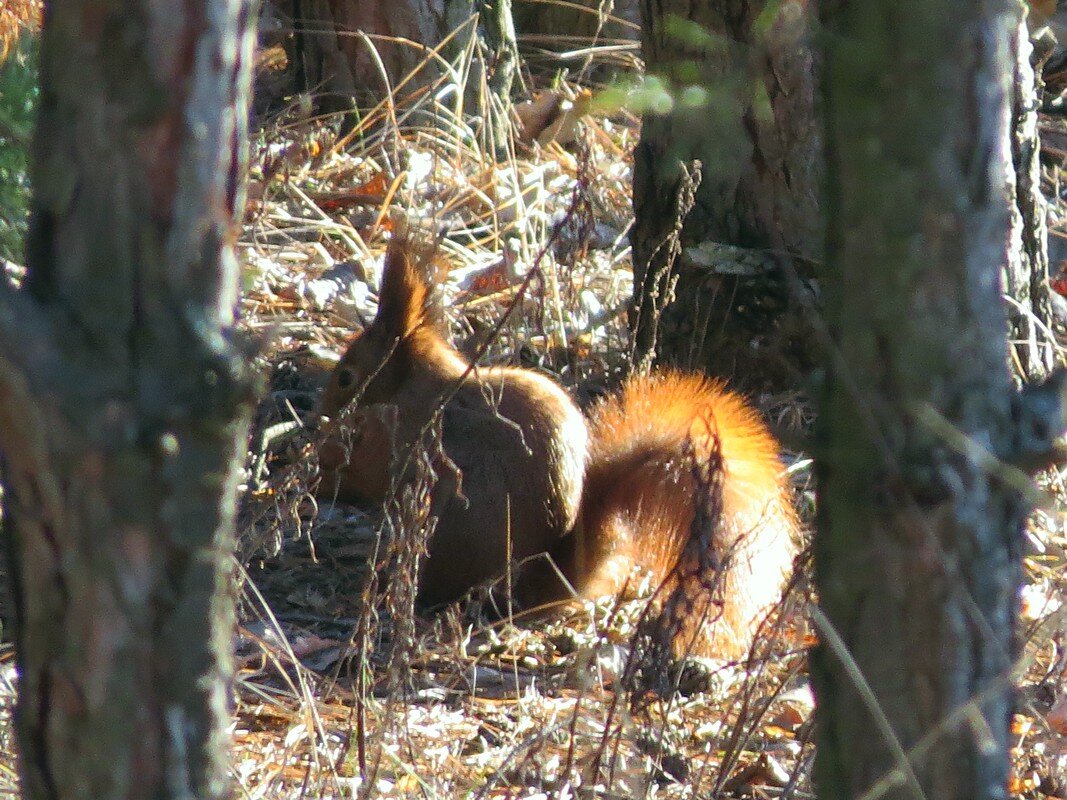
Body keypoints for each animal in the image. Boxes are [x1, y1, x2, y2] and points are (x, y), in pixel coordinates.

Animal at [317, 241, 802, 661]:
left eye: (345, 376)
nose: (325, 413)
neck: (414, 383)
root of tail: (526, 589)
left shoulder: (400, 430)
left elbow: (370, 469)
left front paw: (329, 470)